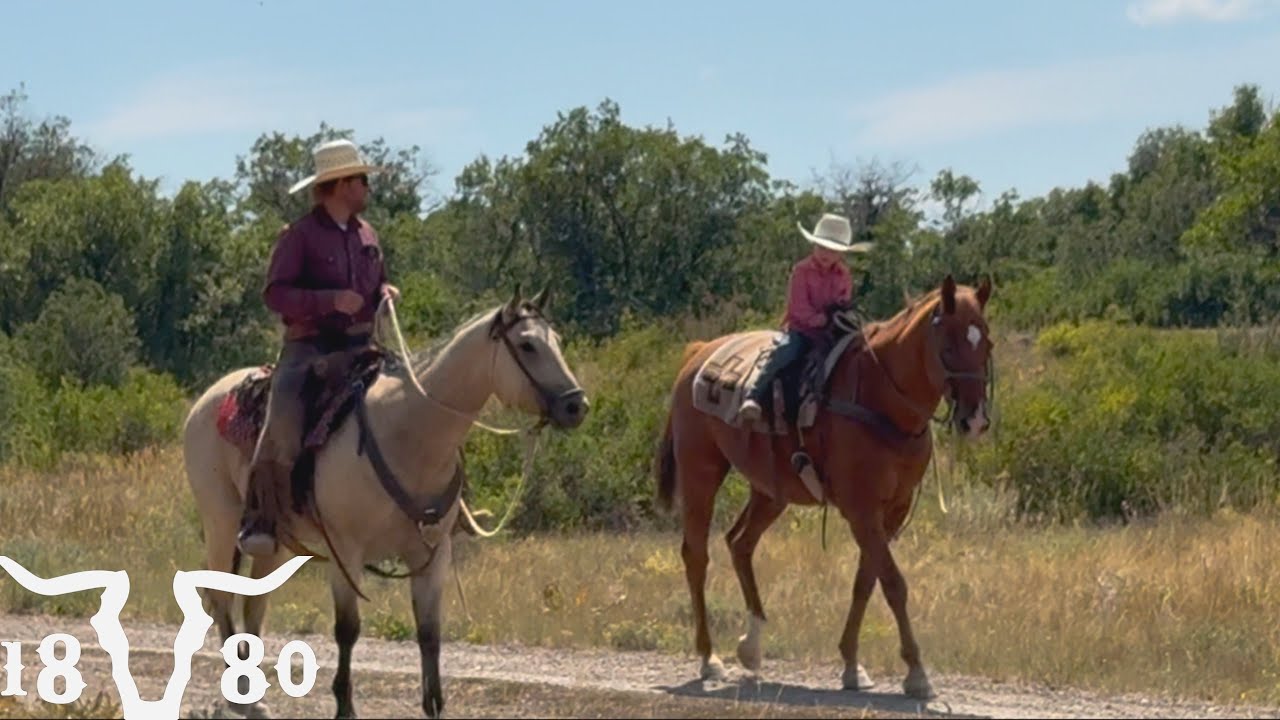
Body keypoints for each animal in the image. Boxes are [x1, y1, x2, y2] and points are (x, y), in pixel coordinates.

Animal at [181, 286, 589, 719]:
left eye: (557, 340)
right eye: (527, 345)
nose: (576, 405)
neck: (408, 434)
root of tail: (209, 397)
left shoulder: (432, 555)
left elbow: (429, 633)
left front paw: (434, 706)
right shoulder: (346, 552)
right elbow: (347, 629)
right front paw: (345, 706)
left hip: (275, 542)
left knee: (254, 602)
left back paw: (254, 699)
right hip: (221, 520)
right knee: (222, 597)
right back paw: (239, 695)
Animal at [654, 274, 993, 699]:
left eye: (987, 344)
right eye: (947, 347)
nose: (975, 421)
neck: (880, 397)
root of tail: (698, 353)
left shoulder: (891, 511)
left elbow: (866, 580)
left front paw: (852, 665)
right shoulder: (861, 508)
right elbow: (893, 583)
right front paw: (916, 673)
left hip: (771, 492)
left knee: (740, 543)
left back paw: (752, 647)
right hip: (701, 473)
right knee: (697, 555)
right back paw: (708, 658)